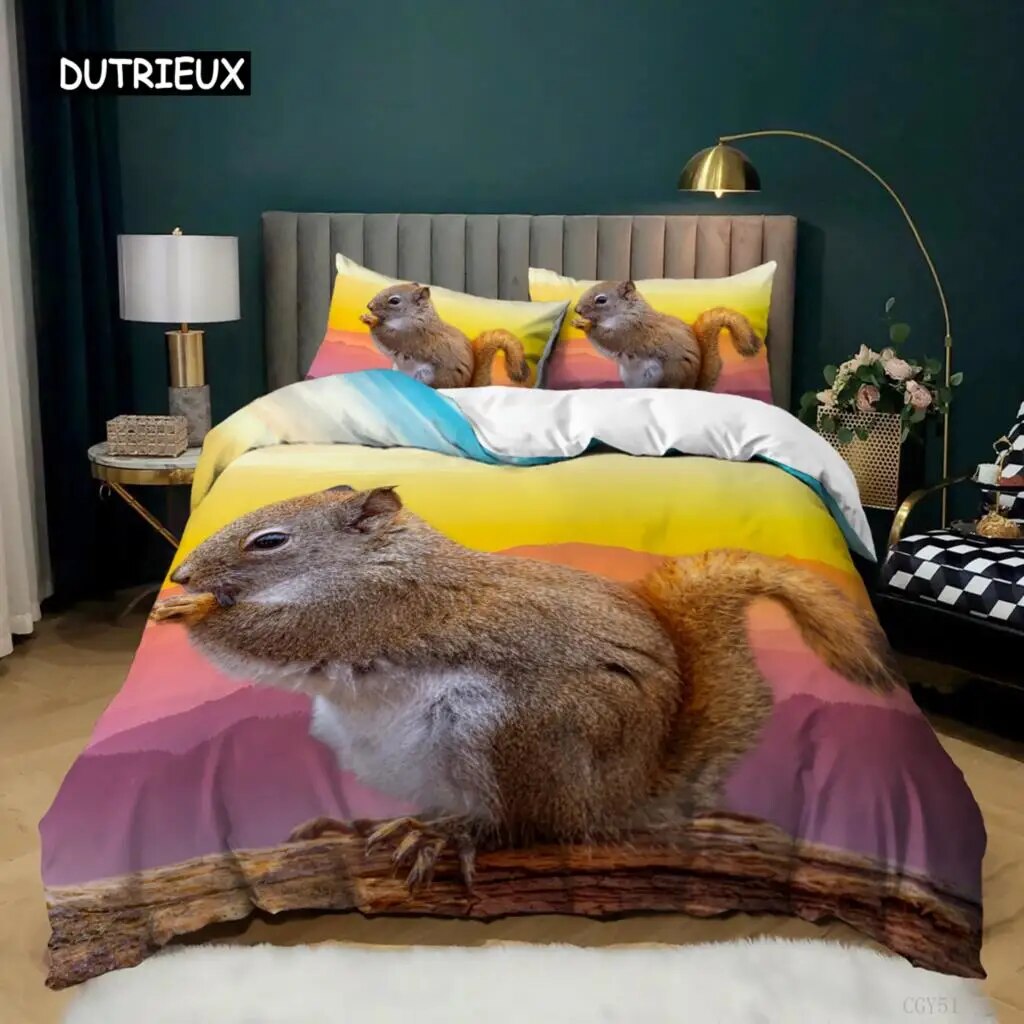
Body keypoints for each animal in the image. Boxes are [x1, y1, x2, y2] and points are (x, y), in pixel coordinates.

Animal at [153, 485, 899, 891]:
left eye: (269, 541)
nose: (181, 574)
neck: (385, 558)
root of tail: (621, 797)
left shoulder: (376, 611)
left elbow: (277, 638)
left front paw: (194, 613)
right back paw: (374, 822)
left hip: (515, 733)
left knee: (525, 826)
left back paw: (447, 835)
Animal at [359, 283, 530, 388]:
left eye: (394, 301)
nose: (369, 306)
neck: (418, 318)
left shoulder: (412, 337)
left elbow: (388, 338)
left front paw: (372, 321)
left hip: (430, 376)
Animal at [572, 280, 763, 390]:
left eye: (601, 300)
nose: (577, 310)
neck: (630, 313)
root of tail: (692, 387)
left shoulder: (631, 332)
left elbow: (609, 340)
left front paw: (585, 325)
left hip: (668, 376)